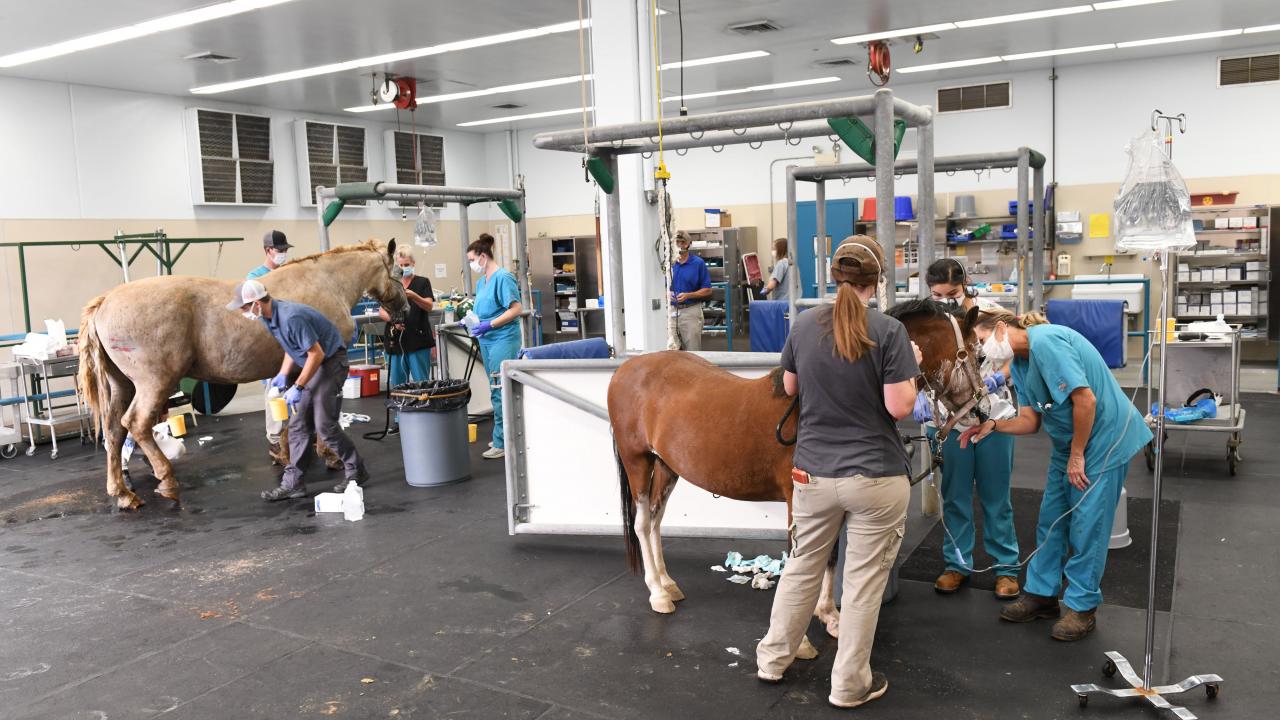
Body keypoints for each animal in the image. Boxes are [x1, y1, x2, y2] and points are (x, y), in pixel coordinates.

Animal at [80, 238, 407, 507]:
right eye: (400, 271)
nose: (404, 309)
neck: (326, 282)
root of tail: (105, 301)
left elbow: (290, 419)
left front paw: (288, 456)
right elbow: (321, 416)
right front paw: (329, 456)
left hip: (123, 385)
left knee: (114, 431)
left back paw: (123, 493)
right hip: (153, 383)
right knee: (136, 424)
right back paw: (167, 481)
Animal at [609, 299, 988, 635]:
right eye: (980, 355)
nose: (979, 414)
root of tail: (626, 370)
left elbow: (830, 557)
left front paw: (829, 616)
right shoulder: (799, 499)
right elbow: (804, 560)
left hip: (666, 466)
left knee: (656, 520)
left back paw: (668, 583)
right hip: (637, 461)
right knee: (642, 523)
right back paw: (658, 593)